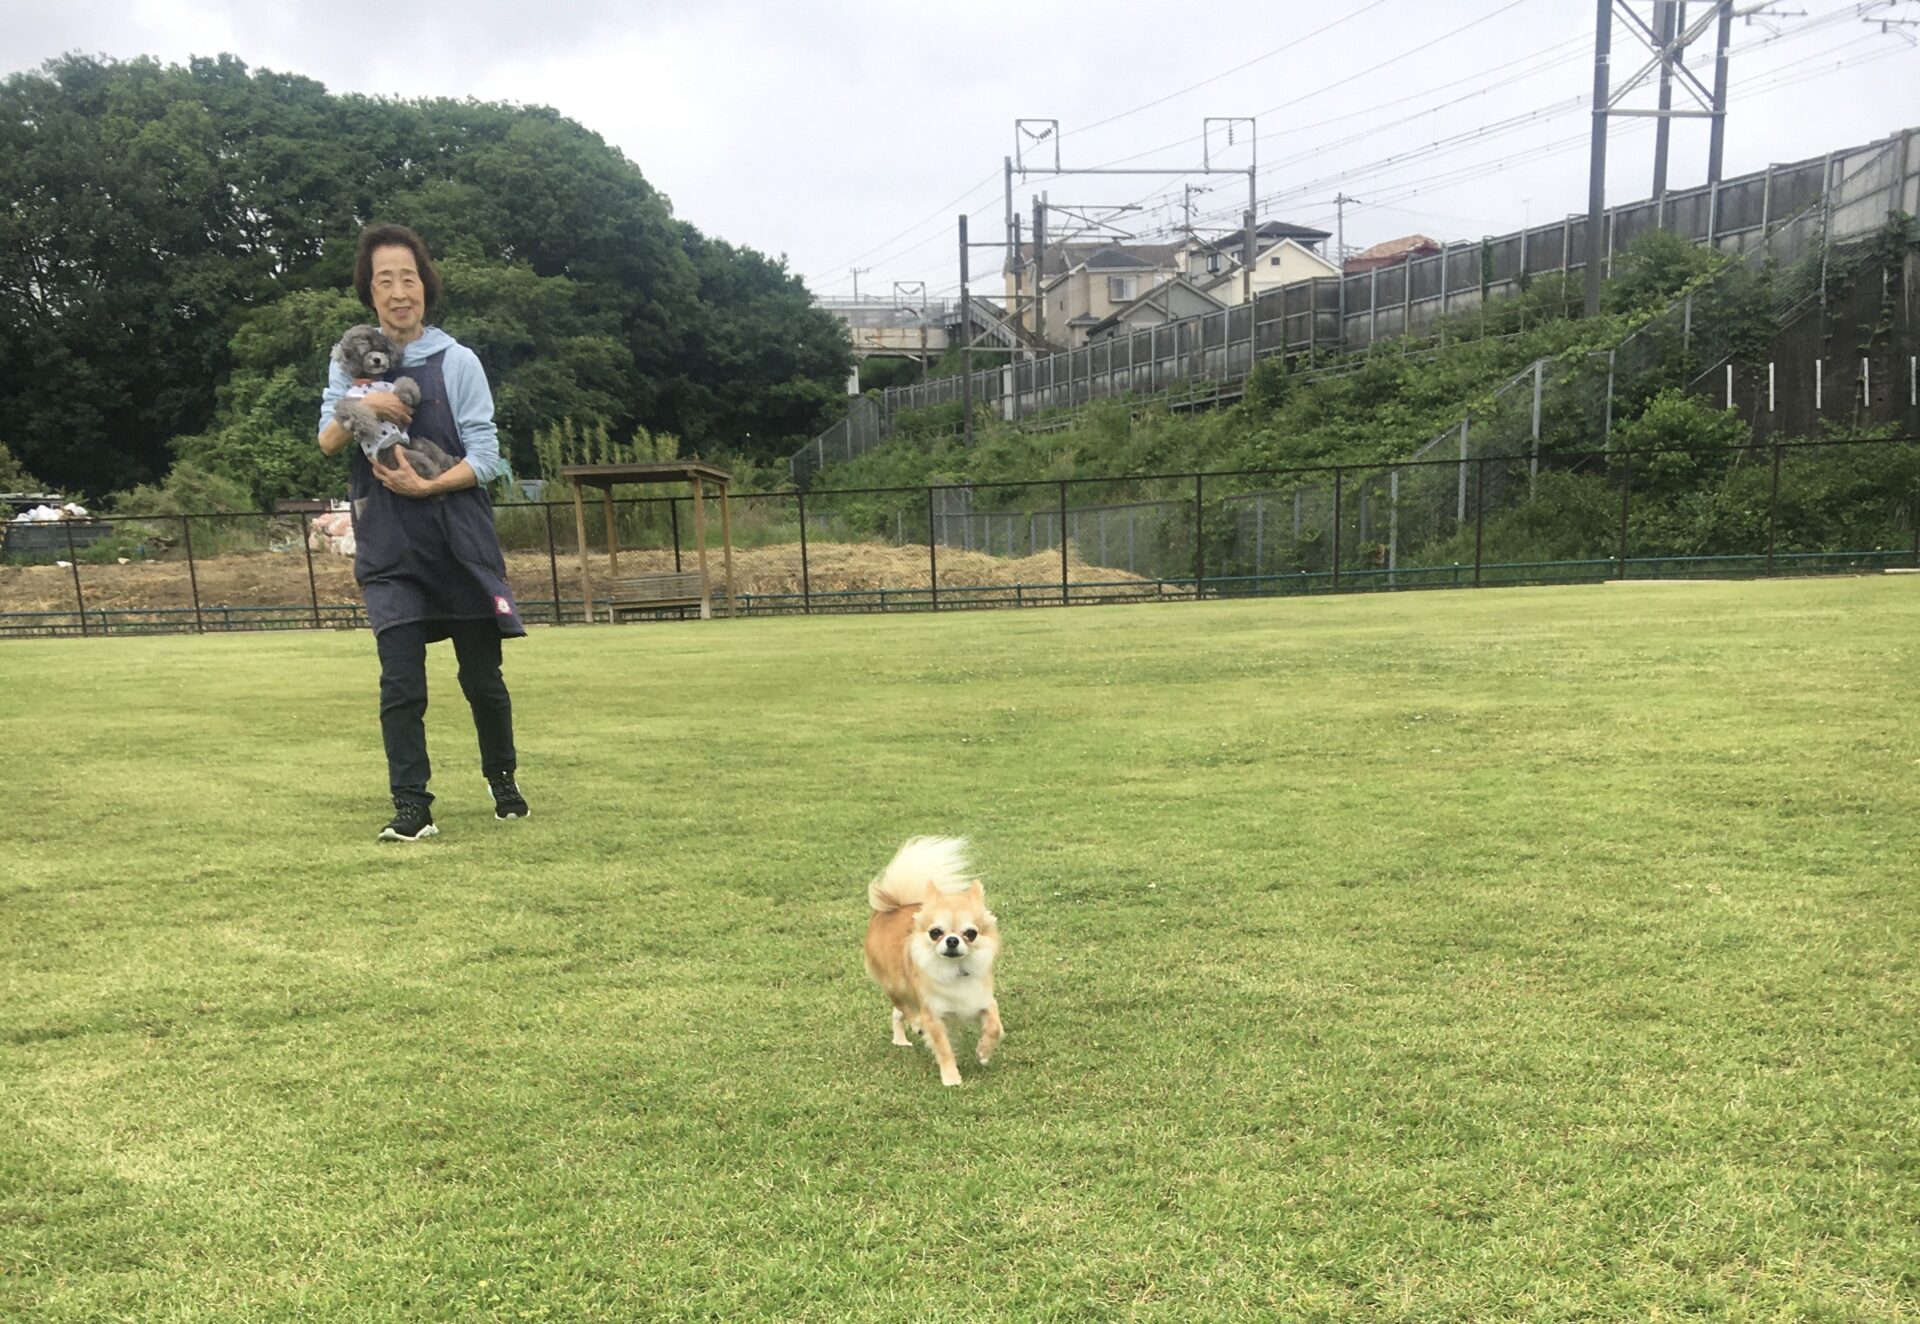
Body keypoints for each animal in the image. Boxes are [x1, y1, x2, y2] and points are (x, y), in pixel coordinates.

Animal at [863, 836, 1003, 1087]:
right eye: (935, 932)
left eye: (971, 934)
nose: (952, 940)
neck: (956, 970)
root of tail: (892, 907)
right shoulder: (933, 1014)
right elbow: (944, 1048)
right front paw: (951, 1078)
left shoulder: (983, 1001)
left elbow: (995, 1026)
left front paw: (984, 1053)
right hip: (895, 985)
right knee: (902, 1006)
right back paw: (915, 1026)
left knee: (896, 1013)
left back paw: (900, 1040)